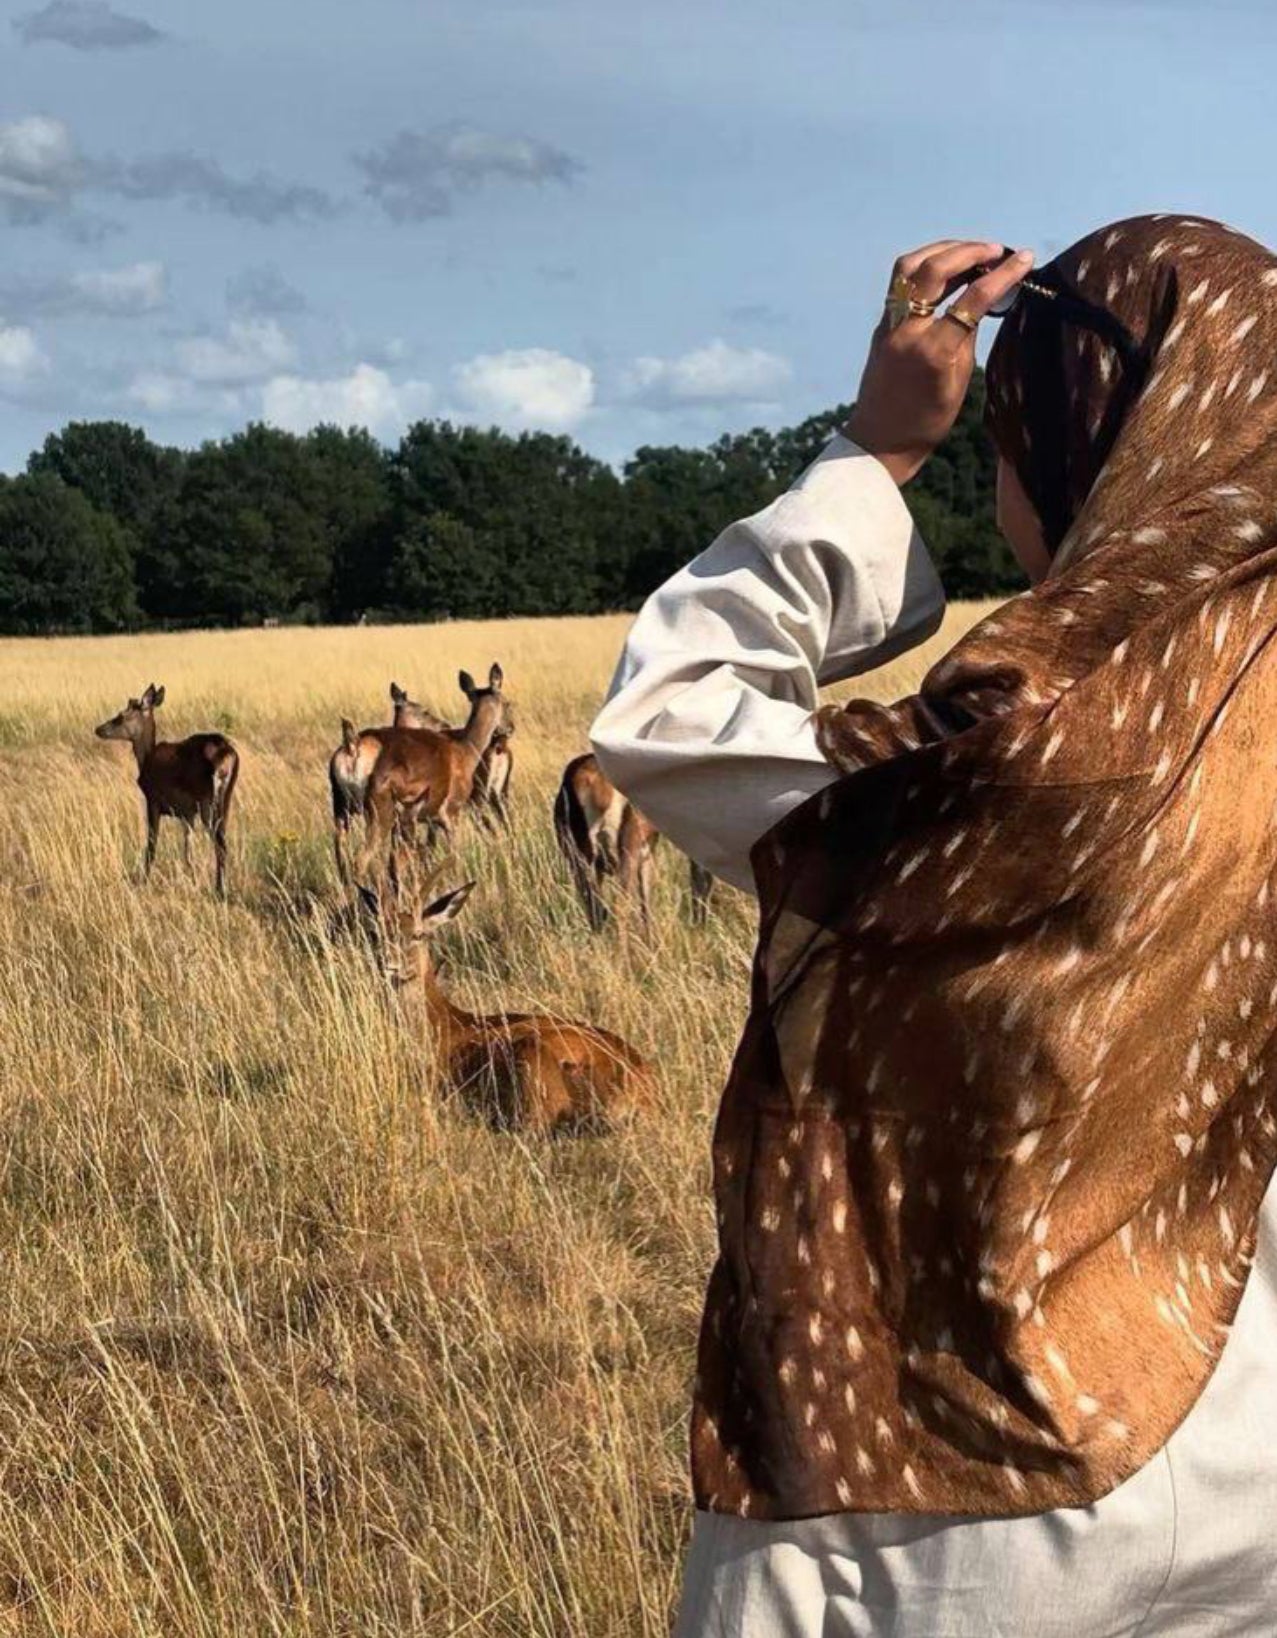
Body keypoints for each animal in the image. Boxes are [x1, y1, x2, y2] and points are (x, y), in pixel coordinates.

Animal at [94, 683, 239, 896]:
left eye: (121, 715)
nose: (99, 729)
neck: (145, 758)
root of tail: (228, 754)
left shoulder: (153, 801)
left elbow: (151, 845)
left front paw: (143, 881)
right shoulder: (187, 814)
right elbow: (188, 852)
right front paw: (192, 881)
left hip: (208, 803)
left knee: (220, 844)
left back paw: (220, 890)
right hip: (225, 801)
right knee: (223, 841)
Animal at [329, 681, 449, 886]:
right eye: (424, 710)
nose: (445, 725)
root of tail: (352, 746)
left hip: (342, 810)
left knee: (341, 855)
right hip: (379, 815)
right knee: (360, 859)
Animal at [361, 875, 654, 1132]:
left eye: (418, 935)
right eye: (375, 933)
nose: (386, 962)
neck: (442, 1025)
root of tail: (643, 1085)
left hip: (533, 1063)